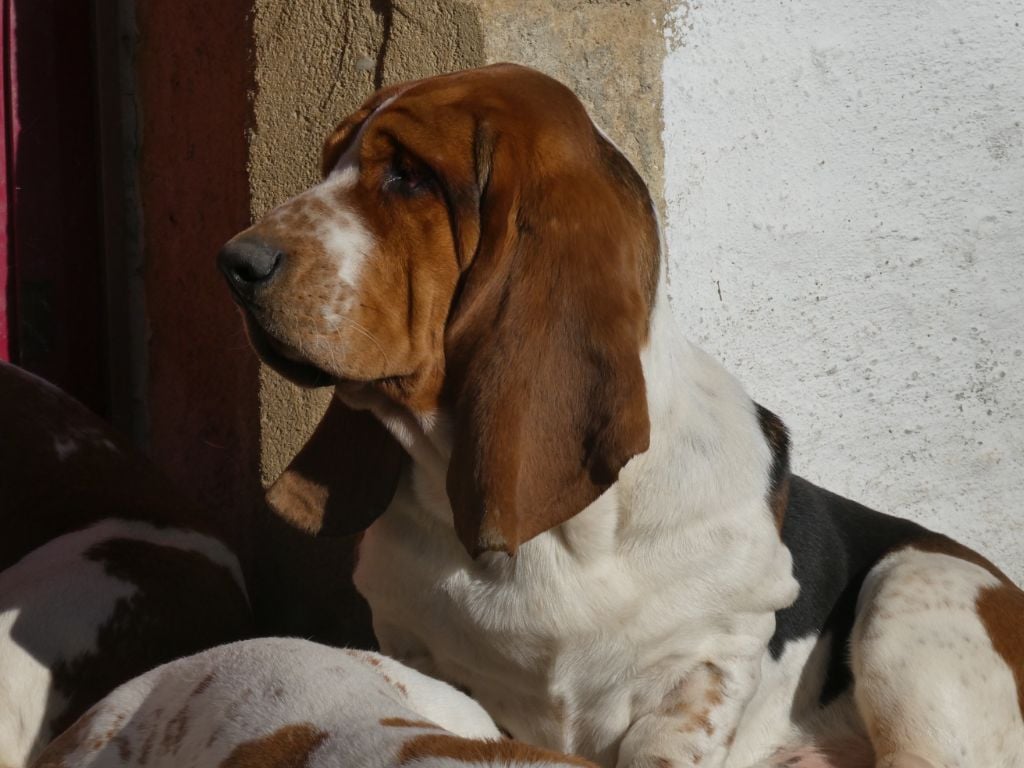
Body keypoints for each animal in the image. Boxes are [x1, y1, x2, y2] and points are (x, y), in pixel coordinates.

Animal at [218, 64, 1024, 768]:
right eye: (330, 162)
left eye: (408, 175)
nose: (234, 263)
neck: (560, 538)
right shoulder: (412, 646)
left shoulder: (708, 661)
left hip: (913, 591)